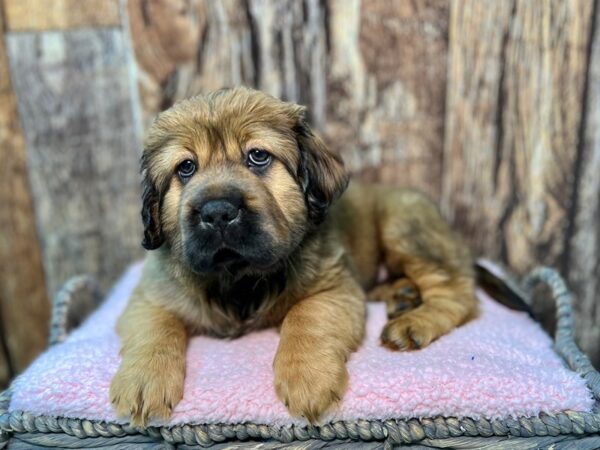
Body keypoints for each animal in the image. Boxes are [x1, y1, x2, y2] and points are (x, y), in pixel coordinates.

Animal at [109, 87, 478, 426]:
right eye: (186, 167)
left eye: (258, 156)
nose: (217, 212)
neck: (238, 277)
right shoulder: (149, 295)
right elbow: (156, 329)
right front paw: (143, 381)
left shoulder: (334, 286)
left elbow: (306, 318)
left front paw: (307, 378)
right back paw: (402, 296)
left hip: (404, 227)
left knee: (460, 295)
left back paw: (413, 322)